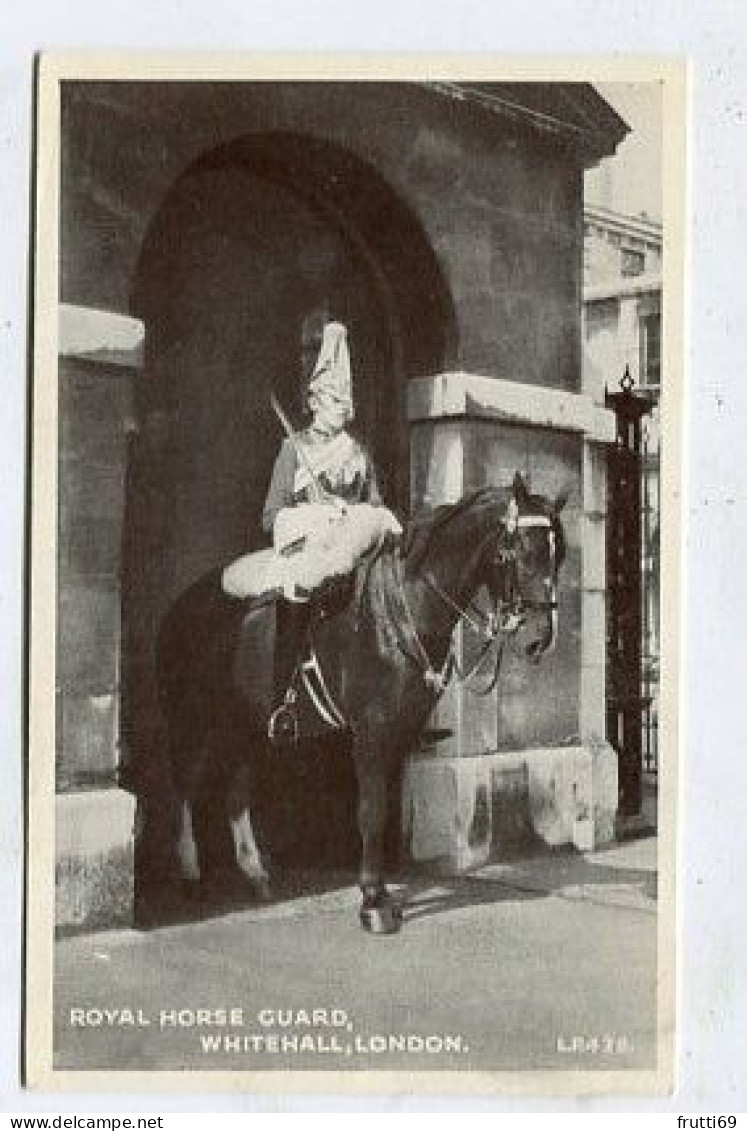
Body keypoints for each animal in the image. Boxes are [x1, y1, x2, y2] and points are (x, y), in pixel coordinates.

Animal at [157, 472, 565, 931]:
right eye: (518, 551)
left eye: (558, 555)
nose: (540, 640)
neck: (404, 606)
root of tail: (179, 608)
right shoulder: (372, 731)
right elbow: (370, 810)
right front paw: (373, 900)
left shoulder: (401, 730)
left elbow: (383, 809)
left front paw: (381, 890)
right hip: (196, 720)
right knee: (184, 785)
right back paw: (190, 873)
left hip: (246, 723)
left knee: (237, 790)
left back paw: (255, 873)